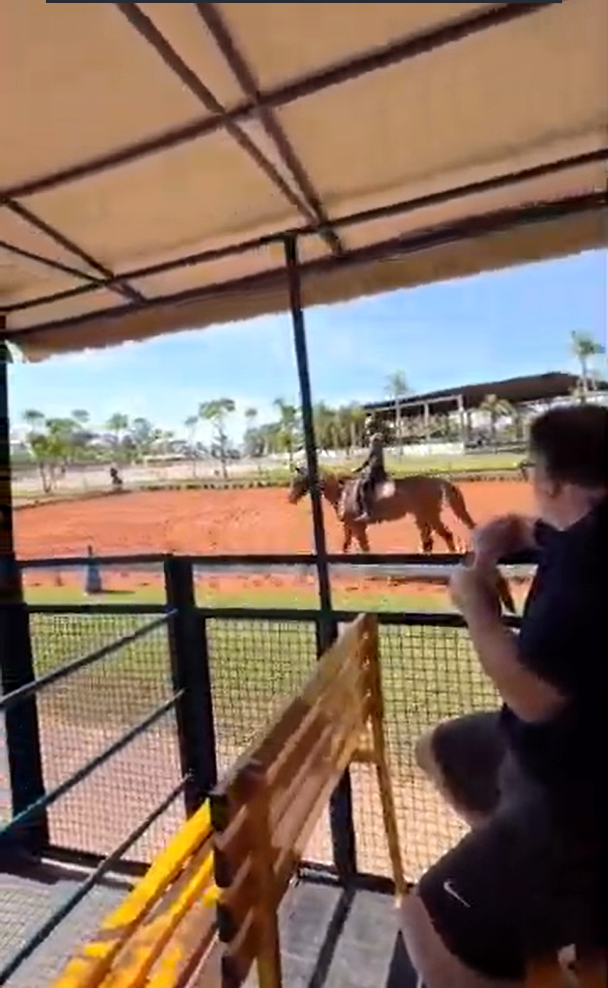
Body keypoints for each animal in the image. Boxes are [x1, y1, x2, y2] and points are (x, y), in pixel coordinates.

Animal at [287, 466, 477, 554]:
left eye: (298, 480)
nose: (290, 499)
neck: (343, 492)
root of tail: (437, 481)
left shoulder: (357, 526)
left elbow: (364, 546)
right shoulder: (348, 526)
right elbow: (346, 544)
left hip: (430, 515)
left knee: (446, 535)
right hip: (421, 516)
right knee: (427, 540)